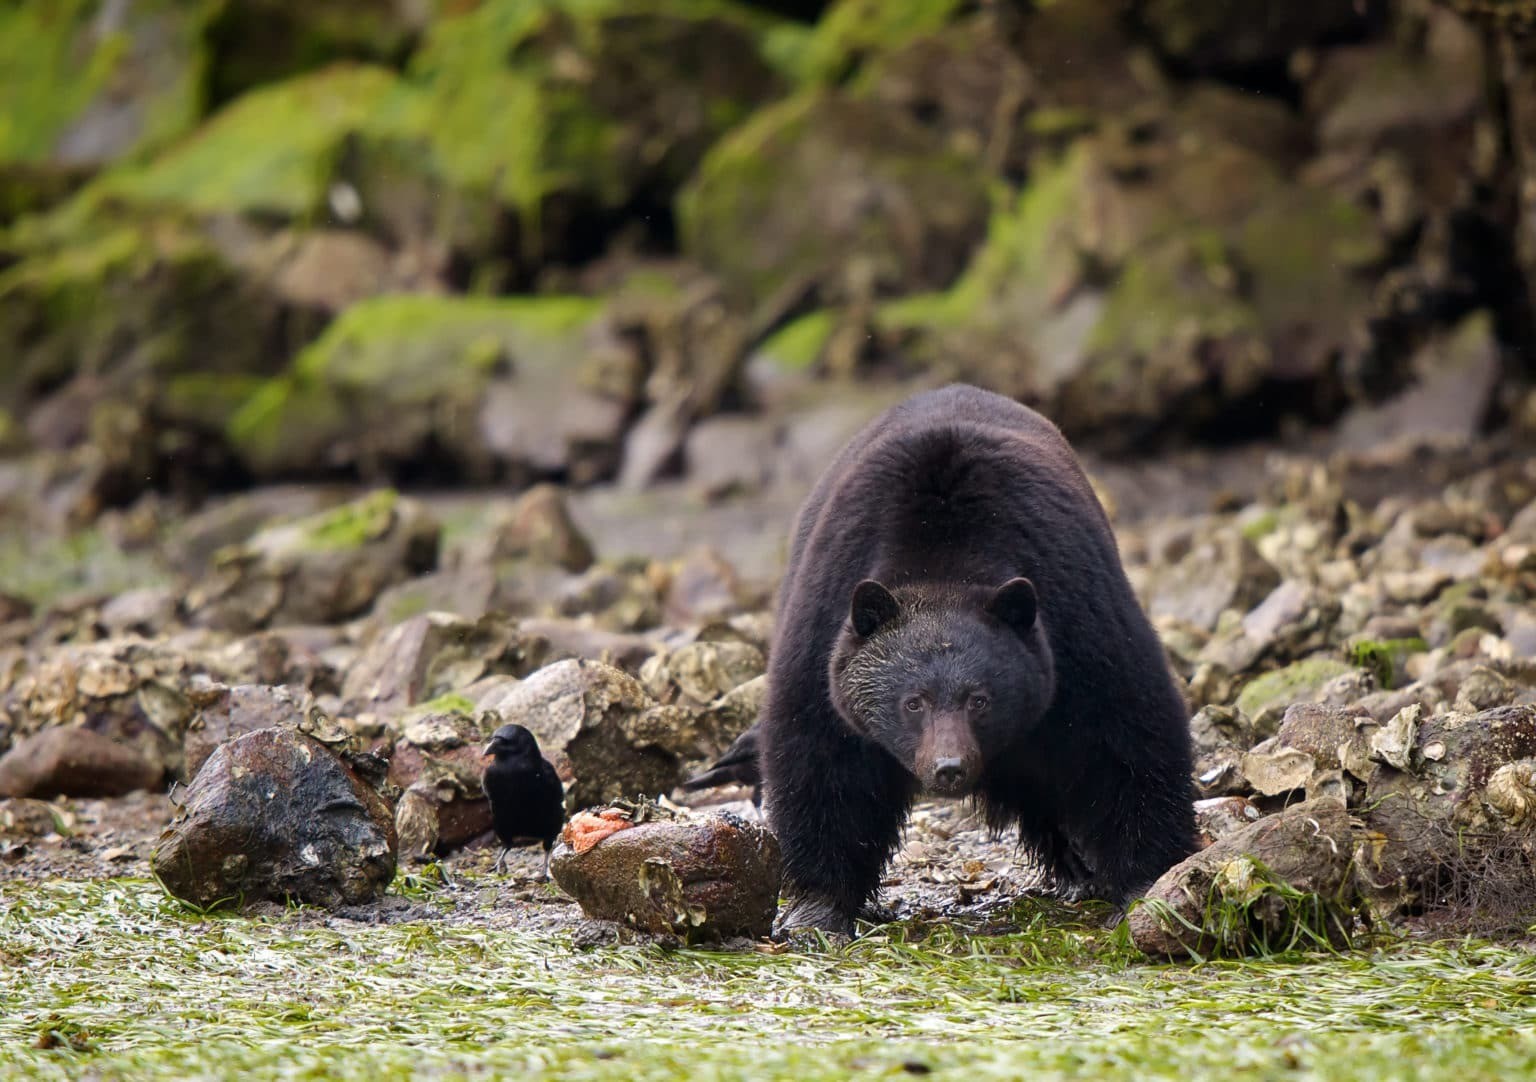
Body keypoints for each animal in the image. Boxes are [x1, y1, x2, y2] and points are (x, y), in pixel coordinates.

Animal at [759, 383, 1196, 936]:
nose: (950, 767)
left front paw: (1146, 882)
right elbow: (820, 755)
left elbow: (1127, 731)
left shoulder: (1076, 609)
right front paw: (816, 909)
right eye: (913, 702)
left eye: (980, 699)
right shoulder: (826, 614)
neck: (943, 559)